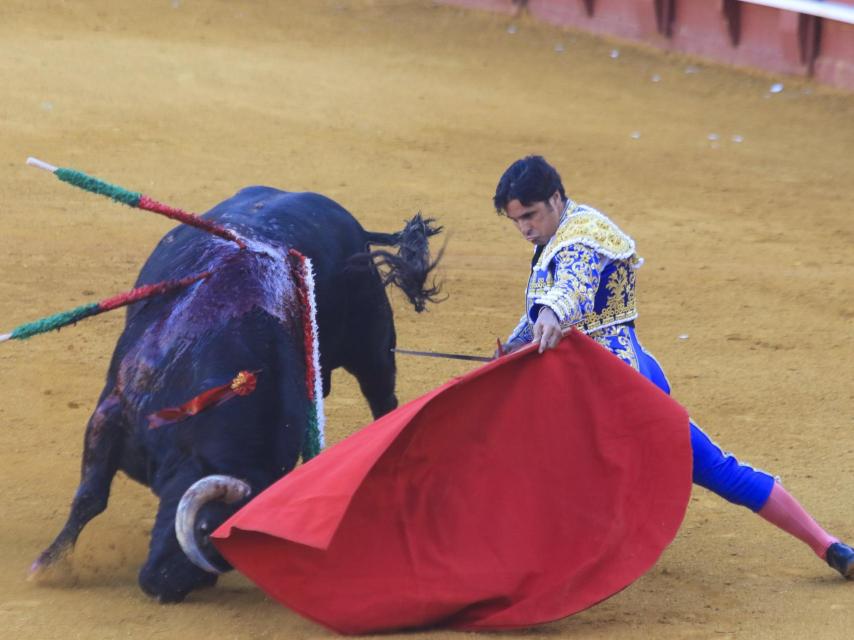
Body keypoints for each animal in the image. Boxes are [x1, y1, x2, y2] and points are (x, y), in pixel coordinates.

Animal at [28, 186, 442, 604]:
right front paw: (48, 566)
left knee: (383, 400)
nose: (163, 589)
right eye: (204, 531)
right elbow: (91, 496)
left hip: (373, 349)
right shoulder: (110, 414)